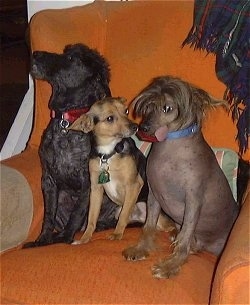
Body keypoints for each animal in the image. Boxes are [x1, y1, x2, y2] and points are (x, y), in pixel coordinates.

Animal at [68, 96, 146, 243]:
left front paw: (117, 234)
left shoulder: (134, 184)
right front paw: (85, 238)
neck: (108, 153)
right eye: (110, 118)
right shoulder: (96, 189)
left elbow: (124, 215)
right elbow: (91, 218)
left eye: (126, 111)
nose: (135, 127)